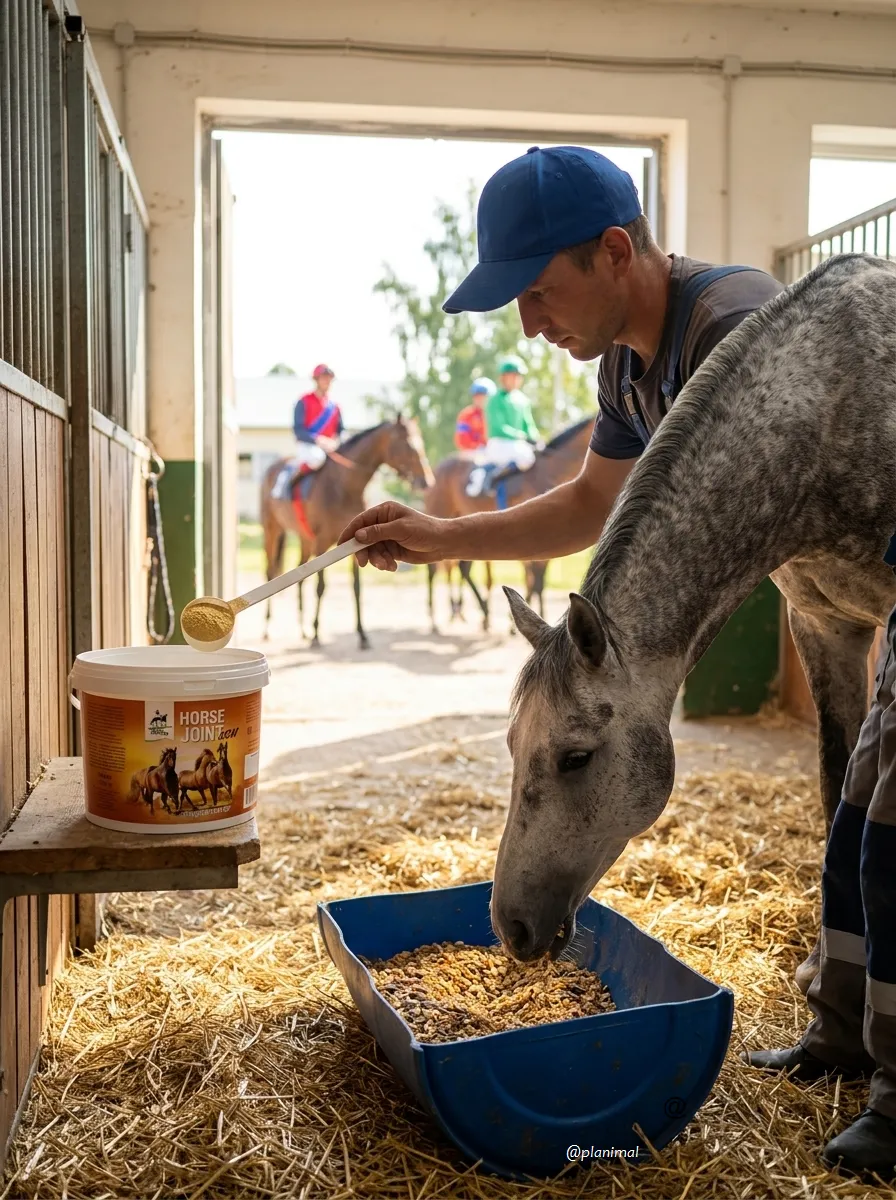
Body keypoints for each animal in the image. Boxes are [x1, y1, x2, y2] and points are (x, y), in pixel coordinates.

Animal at [261, 416, 434, 648]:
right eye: (409, 445)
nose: (426, 481)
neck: (343, 486)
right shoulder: (322, 542)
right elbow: (321, 586)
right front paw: (317, 634)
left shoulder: (352, 542)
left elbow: (356, 588)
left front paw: (362, 634)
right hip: (272, 529)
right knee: (270, 572)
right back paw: (270, 629)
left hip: (305, 540)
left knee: (300, 574)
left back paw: (303, 630)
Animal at [424, 418, 594, 633]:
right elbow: (536, 581)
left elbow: (536, 581)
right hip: (440, 514)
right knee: (434, 569)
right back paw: (436, 619)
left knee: (463, 568)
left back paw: (480, 613)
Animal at [489, 254, 896, 991]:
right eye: (511, 744)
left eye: (576, 757)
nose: (513, 928)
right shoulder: (824, 627)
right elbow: (834, 784)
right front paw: (821, 961)